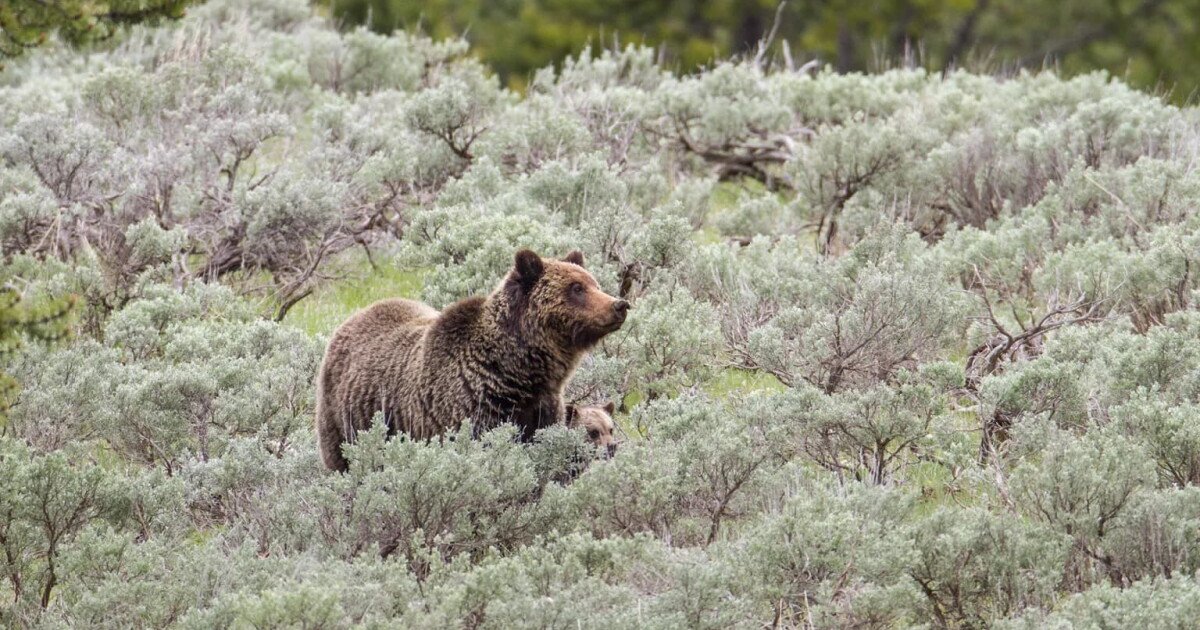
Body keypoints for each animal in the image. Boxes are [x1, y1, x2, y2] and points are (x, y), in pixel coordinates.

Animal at [316, 249, 629, 471]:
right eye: (576, 288)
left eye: (593, 283)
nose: (620, 304)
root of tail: (351, 319)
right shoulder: (465, 411)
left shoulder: (542, 409)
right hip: (345, 421)